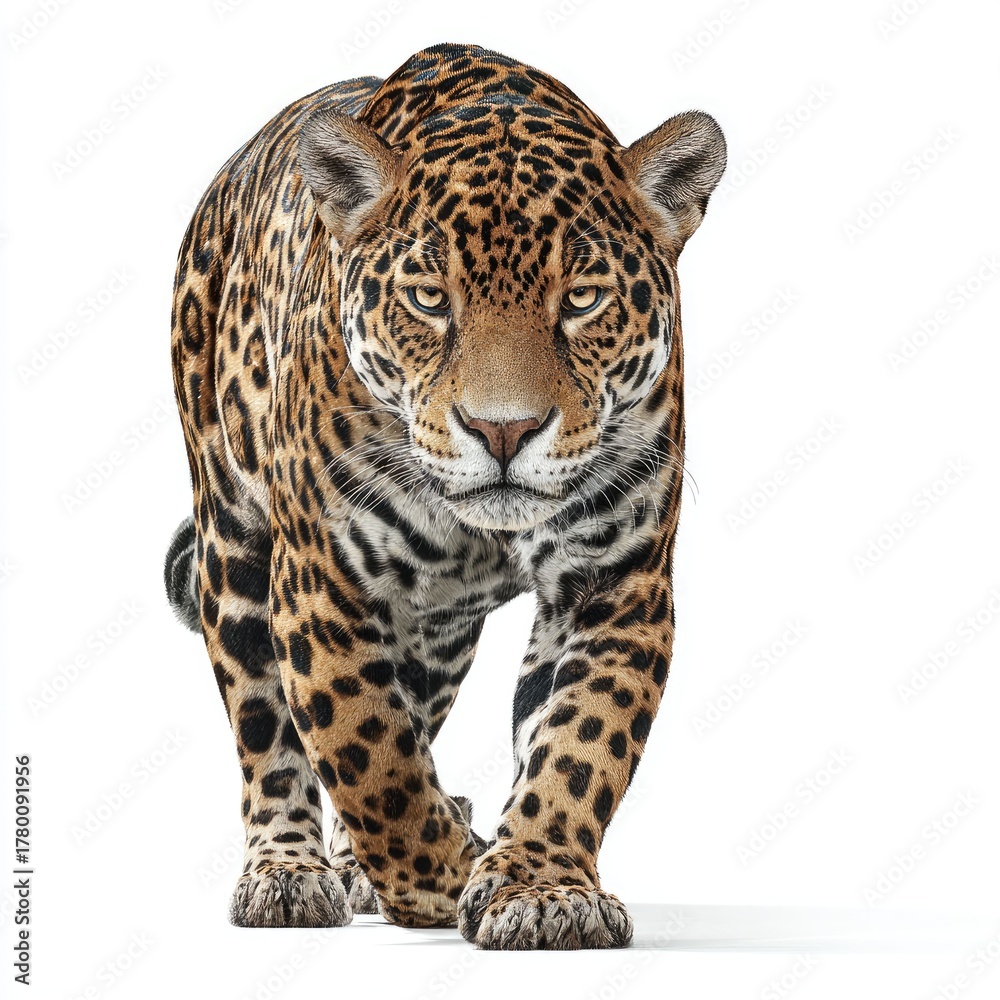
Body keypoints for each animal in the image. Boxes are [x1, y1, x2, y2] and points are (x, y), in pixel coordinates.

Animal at [165, 41, 725, 950]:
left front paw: (538, 886)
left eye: (582, 300)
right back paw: (290, 874)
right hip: (232, 548)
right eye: (430, 300)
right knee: (270, 734)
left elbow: (578, 743)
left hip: (438, 626)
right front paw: (446, 875)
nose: (504, 430)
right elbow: (370, 755)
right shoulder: (322, 584)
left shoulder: (618, 582)